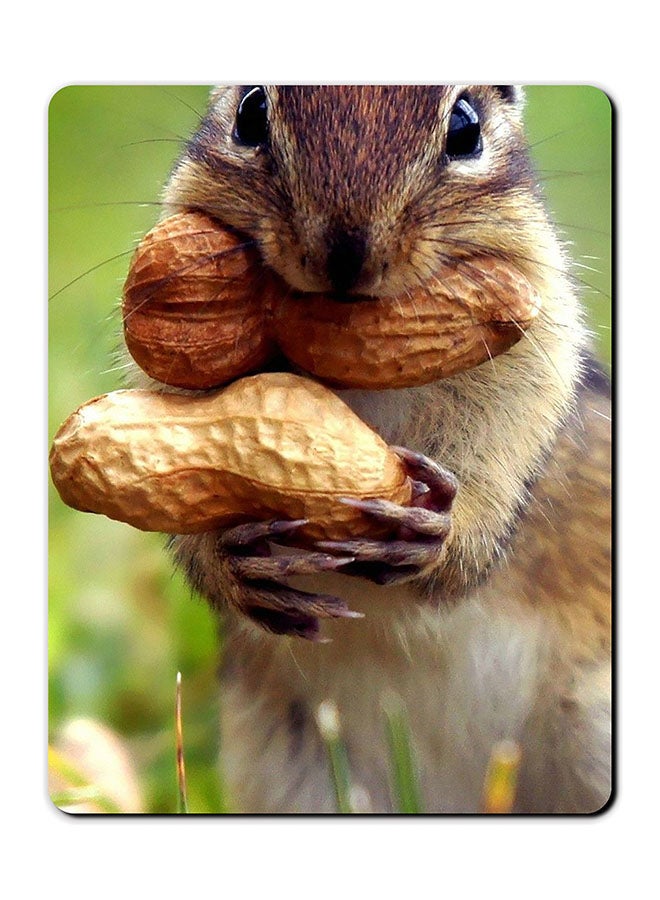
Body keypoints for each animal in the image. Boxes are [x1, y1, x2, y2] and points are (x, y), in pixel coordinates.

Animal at [135, 85, 611, 813]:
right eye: (249, 112)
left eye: (466, 127)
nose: (345, 254)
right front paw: (230, 560)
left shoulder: (535, 348)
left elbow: (496, 478)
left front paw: (438, 531)